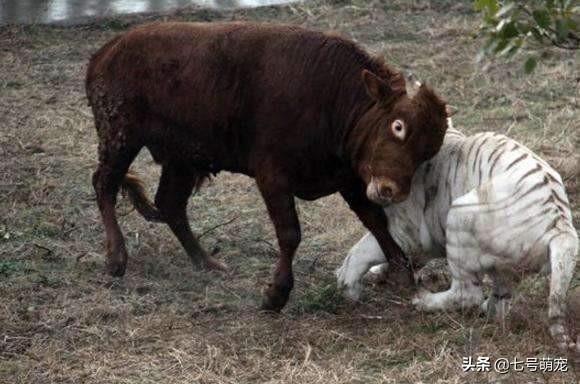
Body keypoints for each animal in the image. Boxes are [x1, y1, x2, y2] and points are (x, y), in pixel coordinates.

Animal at [85, 21, 448, 312]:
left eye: (429, 149)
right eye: (397, 126)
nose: (392, 190)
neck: (334, 96)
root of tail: (106, 51)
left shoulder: (349, 180)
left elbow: (375, 221)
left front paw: (402, 273)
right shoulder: (273, 177)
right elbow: (290, 233)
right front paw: (275, 295)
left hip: (181, 159)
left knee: (170, 203)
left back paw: (207, 262)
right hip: (121, 137)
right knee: (105, 183)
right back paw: (116, 259)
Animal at [338, 120, 576, 352]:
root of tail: (560, 226)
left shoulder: (407, 233)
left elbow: (364, 249)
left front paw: (347, 283)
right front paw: (380, 273)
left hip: (460, 216)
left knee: (466, 293)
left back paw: (424, 301)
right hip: (506, 263)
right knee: (500, 299)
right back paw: (486, 309)